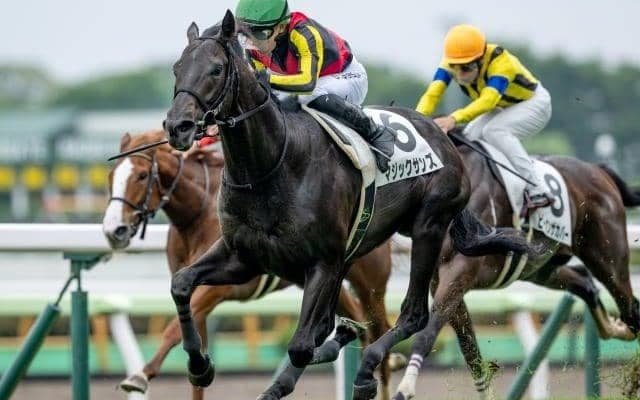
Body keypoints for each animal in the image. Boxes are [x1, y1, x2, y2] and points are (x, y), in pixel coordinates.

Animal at [102, 129, 400, 400]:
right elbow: (193, 349)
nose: (114, 230)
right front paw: (199, 370)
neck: (197, 215)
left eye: (141, 175)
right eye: (111, 175)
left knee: (379, 330)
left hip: (369, 286)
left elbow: (174, 329)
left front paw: (140, 376)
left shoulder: (217, 289)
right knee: (354, 321)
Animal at [161, 11, 531, 400]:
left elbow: (302, 344)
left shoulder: (323, 261)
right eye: (177, 68)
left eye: (216, 69)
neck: (271, 165)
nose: (178, 126)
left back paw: (366, 369)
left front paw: (346, 345)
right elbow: (181, 284)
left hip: (427, 227)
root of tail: (442, 134)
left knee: (412, 315)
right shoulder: (244, 257)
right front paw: (200, 366)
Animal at [392, 138, 640, 400]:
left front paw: (405, 388)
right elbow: (470, 350)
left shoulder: (459, 270)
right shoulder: (441, 280)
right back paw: (613, 326)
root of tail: (598, 170)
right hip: (540, 267)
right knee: (585, 283)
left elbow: (429, 332)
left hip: (607, 258)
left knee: (631, 309)